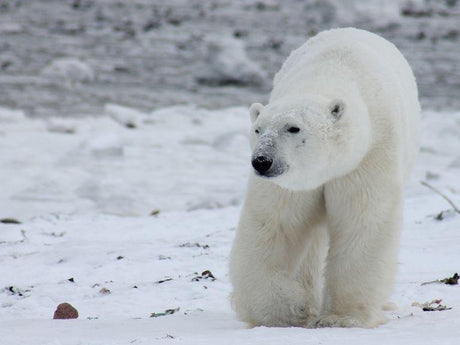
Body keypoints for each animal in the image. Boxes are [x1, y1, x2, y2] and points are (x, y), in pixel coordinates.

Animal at [228, 27, 418, 328]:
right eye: (258, 129)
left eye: (293, 128)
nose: (262, 161)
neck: (329, 74)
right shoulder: (292, 183)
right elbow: (274, 226)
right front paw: (286, 310)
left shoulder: (368, 156)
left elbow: (362, 222)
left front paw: (342, 317)